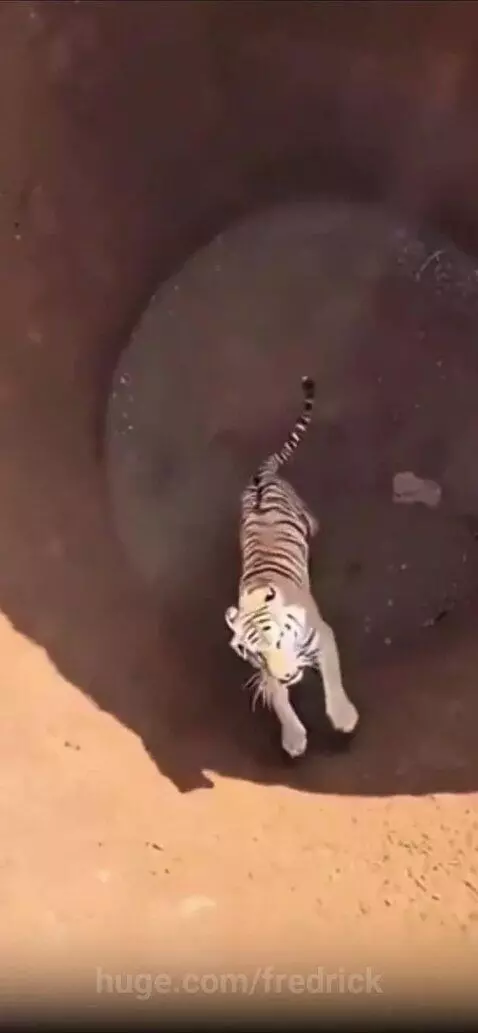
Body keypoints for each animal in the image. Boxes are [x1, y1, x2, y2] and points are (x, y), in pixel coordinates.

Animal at [225, 375, 359, 759]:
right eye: (255, 652)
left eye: (279, 639)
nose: (287, 675)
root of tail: (261, 477)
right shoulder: (264, 674)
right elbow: (279, 701)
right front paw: (294, 738)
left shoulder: (325, 636)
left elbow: (333, 678)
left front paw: (343, 717)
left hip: (300, 509)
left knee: (311, 520)